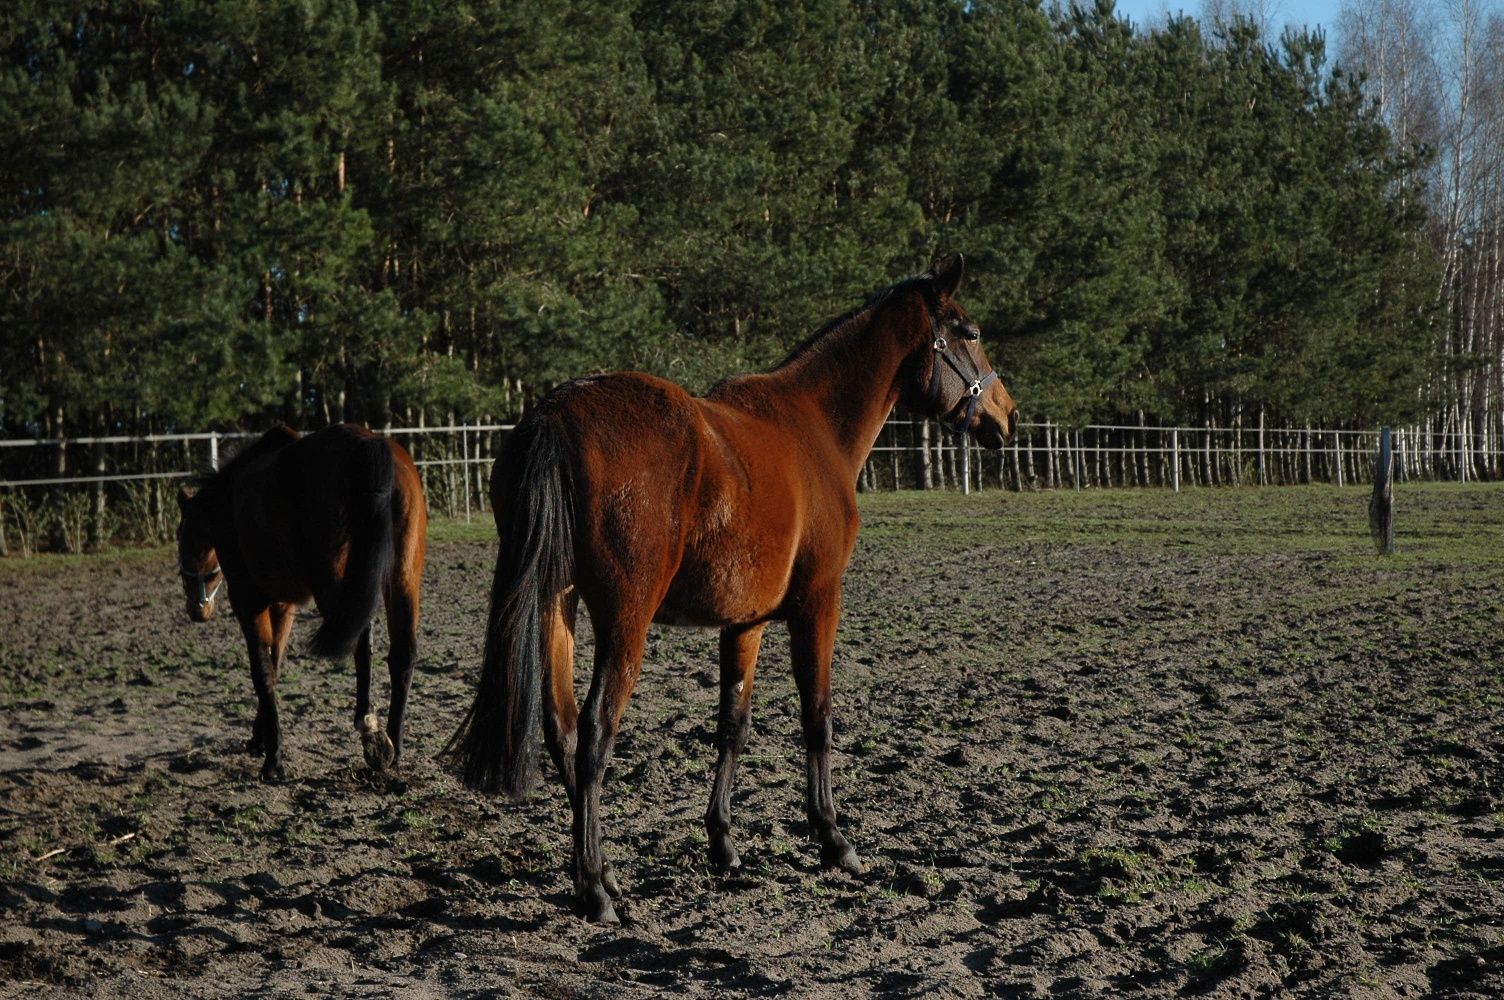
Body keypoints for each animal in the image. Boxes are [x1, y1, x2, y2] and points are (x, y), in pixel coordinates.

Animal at [181, 421, 433, 781]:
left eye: (183, 537)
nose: (196, 609)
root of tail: (368, 446)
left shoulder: (247, 600)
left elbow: (262, 671)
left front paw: (272, 757)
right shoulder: (283, 606)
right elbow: (274, 663)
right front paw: (260, 738)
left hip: (336, 587)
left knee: (361, 642)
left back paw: (370, 732)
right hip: (402, 580)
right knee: (402, 654)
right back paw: (392, 747)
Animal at [439, 254, 1016, 926]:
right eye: (969, 332)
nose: (1007, 414)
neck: (814, 427)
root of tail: (556, 411)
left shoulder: (747, 620)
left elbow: (732, 724)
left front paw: (723, 842)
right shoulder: (819, 601)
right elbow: (816, 715)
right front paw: (833, 839)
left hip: (559, 601)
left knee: (562, 729)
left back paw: (602, 872)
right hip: (625, 620)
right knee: (595, 733)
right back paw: (594, 889)